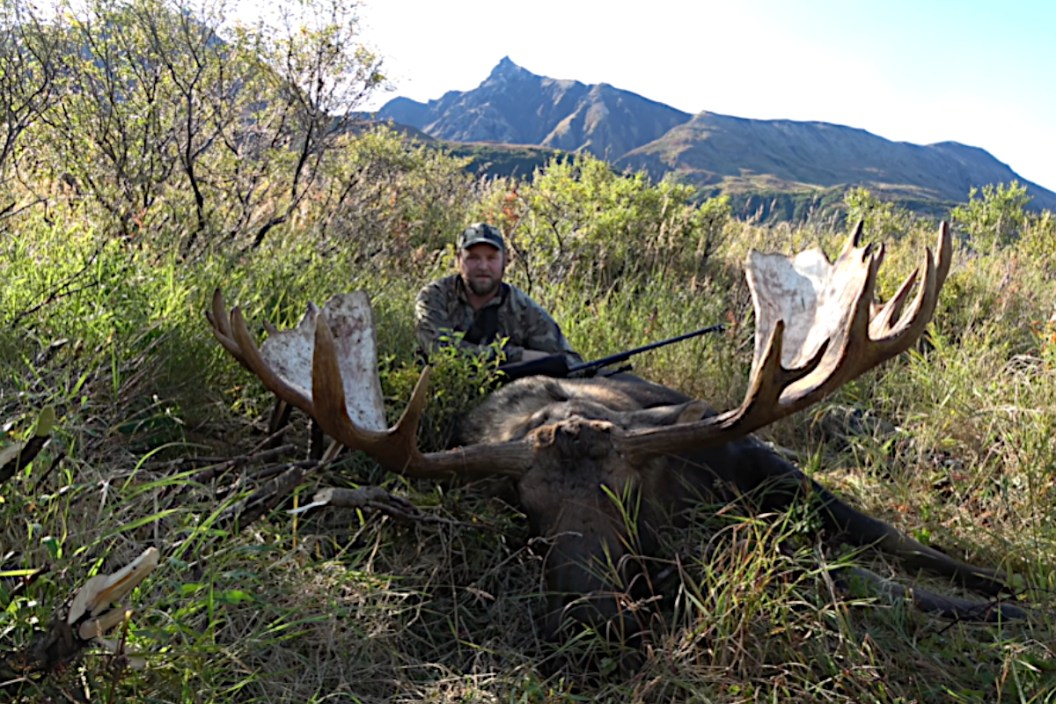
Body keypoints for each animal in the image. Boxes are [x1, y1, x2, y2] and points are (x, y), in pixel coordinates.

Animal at [206, 221, 1024, 640]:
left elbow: (878, 555)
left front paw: (996, 597)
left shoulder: (755, 468)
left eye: (627, 497)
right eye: (526, 513)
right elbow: (843, 575)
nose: (593, 619)